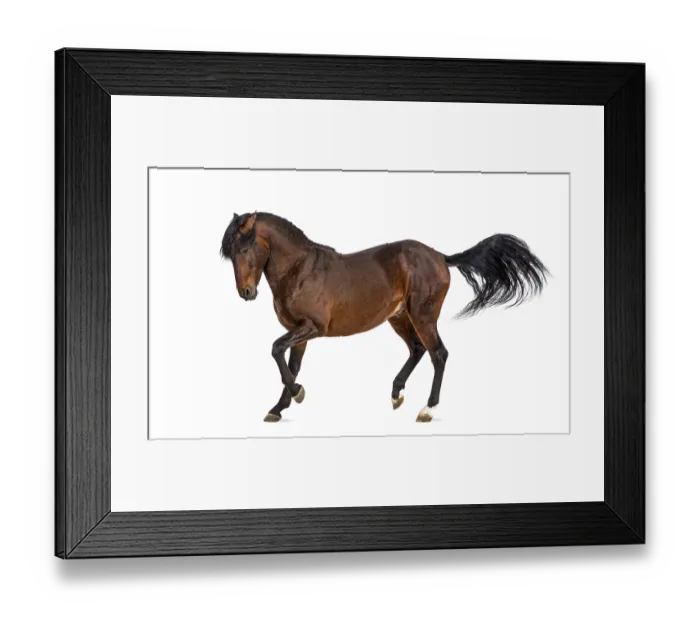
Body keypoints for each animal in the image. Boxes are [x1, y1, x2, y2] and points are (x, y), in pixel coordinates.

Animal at [221, 212, 548, 423]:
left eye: (245, 247)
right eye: (229, 252)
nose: (246, 292)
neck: (300, 270)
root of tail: (441, 257)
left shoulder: (312, 327)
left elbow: (276, 349)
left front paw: (297, 394)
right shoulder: (298, 331)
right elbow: (291, 365)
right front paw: (278, 408)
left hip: (423, 315)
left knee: (438, 354)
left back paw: (427, 410)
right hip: (400, 318)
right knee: (417, 349)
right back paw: (396, 394)